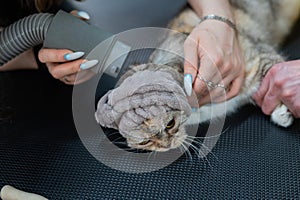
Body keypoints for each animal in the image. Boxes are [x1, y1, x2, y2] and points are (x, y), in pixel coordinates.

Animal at [95, 0, 300, 152]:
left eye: (170, 124)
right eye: (145, 142)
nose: (165, 145)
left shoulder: (257, 59)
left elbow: (273, 71)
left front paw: (283, 111)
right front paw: (280, 112)